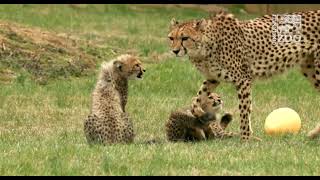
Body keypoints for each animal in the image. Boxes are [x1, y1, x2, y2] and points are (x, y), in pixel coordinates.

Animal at [168, 10, 320, 141]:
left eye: (185, 38)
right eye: (171, 38)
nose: (175, 51)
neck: (203, 50)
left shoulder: (243, 79)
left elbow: (244, 111)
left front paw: (246, 139)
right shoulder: (213, 78)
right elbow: (197, 98)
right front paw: (200, 113)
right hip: (309, 68)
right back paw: (314, 134)